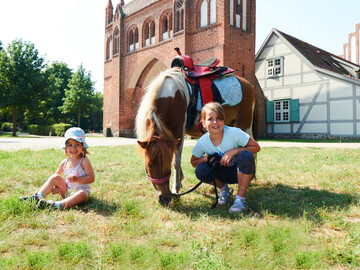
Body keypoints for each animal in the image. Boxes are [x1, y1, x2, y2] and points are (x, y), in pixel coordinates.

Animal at [136, 67, 256, 205]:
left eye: (166, 164)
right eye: (150, 165)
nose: (165, 199)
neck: (172, 97)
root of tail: (249, 85)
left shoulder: (178, 132)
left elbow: (176, 161)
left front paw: (176, 189)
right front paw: (180, 183)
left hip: (245, 125)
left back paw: (250, 180)